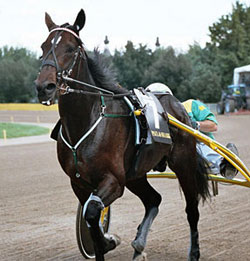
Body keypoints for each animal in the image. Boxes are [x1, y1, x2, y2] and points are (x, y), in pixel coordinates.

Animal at [35, 9, 210, 258]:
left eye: (70, 48)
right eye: (43, 47)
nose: (45, 87)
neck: (87, 121)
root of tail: (177, 105)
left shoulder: (114, 181)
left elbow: (92, 211)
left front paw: (110, 239)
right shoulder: (79, 183)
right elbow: (90, 219)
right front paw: (106, 241)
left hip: (183, 163)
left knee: (191, 209)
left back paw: (193, 252)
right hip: (135, 174)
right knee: (153, 199)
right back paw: (138, 246)